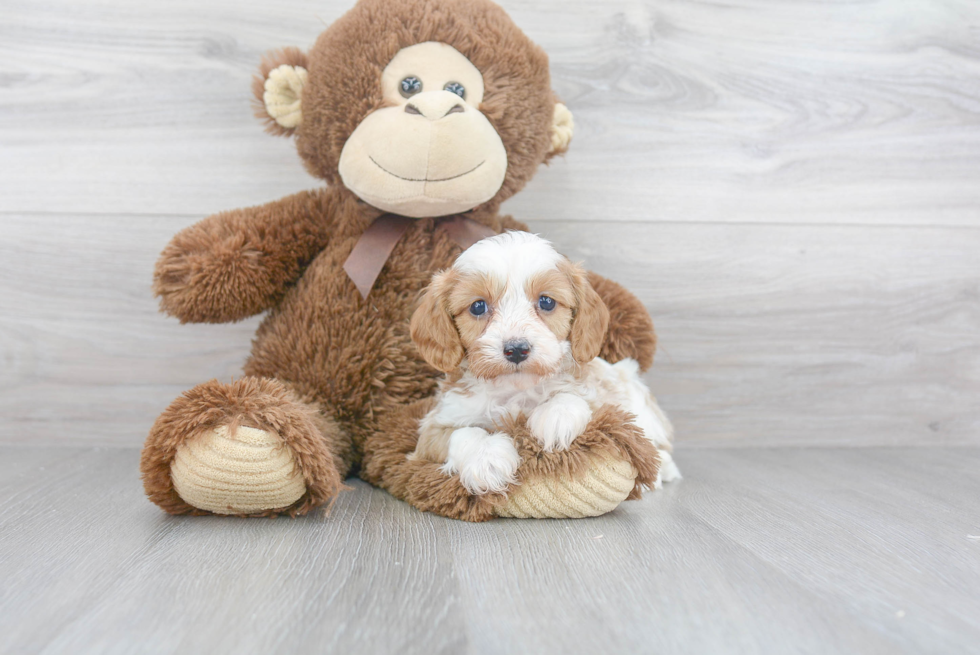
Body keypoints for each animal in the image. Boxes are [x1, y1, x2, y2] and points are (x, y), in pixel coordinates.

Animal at [410, 233, 676, 494]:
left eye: (547, 302)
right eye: (478, 306)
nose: (517, 349)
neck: (516, 390)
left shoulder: (602, 398)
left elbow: (577, 398)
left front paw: (556, 417)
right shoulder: (433, 428)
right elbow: (463, 432)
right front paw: (487, 458)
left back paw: (662, 469)